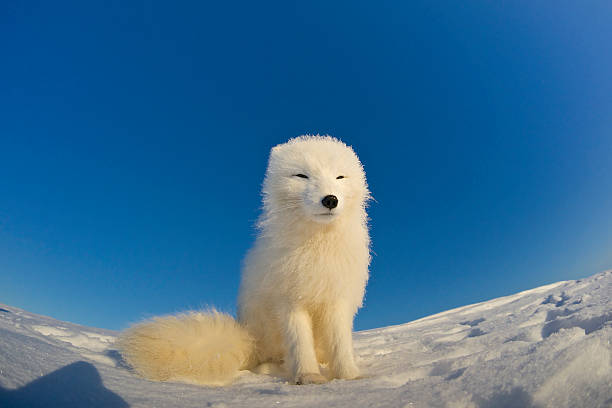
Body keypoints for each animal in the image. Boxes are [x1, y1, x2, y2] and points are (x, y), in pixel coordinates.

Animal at [117, 135, 370, 386]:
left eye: (340, 177)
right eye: (301, 176)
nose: (330, 200)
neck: (318, 244)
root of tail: (249, 339)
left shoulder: (337, 298)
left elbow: (340, 343)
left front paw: (350, 376)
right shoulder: (289, 300)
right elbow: (299, 343)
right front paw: (308, 377)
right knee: (271, 359)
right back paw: (273, 369)